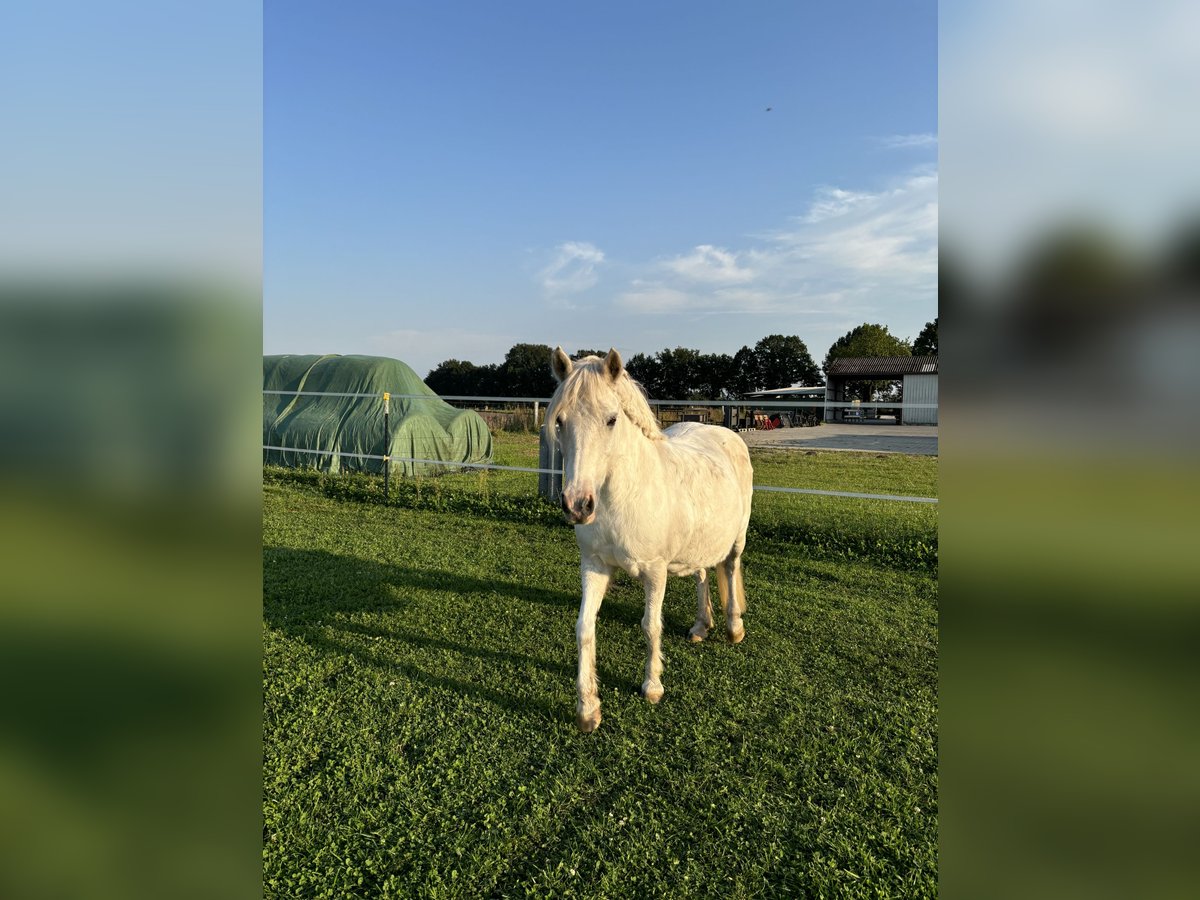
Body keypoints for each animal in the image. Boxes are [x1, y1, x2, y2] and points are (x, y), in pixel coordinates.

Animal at [549, 345, 753, 734]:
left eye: (611, 419)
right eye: (560, 421)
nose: (578, 505)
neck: (624, 494)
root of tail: (725, 433)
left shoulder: (655, 572)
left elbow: (650, 626)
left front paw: (652, 687)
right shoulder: (594, 567)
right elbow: (585, 628)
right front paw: (588, 709)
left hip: (737, 539)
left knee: (730, 570)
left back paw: (734, 628)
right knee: (702, 574)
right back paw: (701, 625)